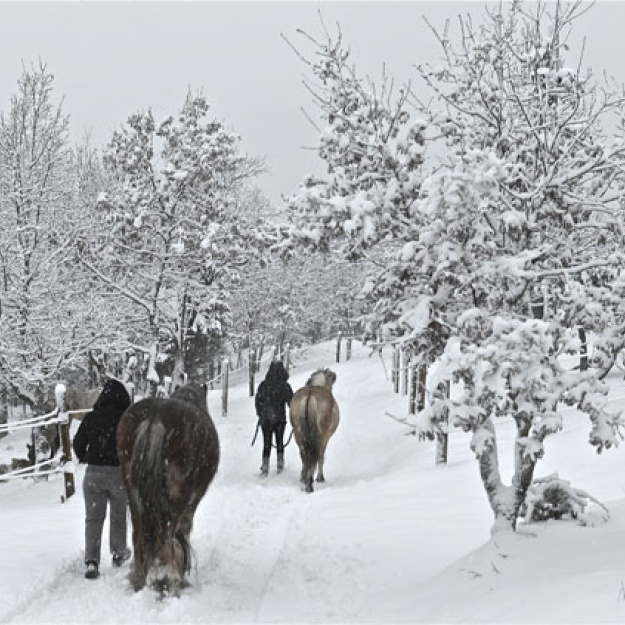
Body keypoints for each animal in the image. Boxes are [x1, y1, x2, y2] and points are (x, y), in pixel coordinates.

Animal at [116, 382, 219, 592]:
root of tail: (154, 417)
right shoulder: (193, 499)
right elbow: (185, 528)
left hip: (133, 494)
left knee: (139, 534)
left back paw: (140, 578)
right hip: (177, 495)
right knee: (168, 532)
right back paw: (169, 579)